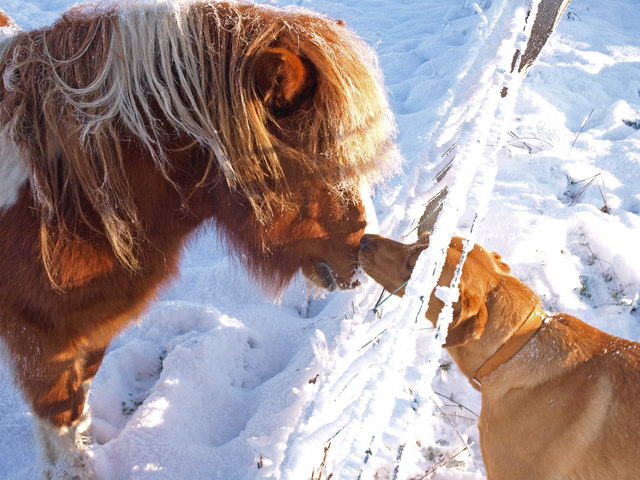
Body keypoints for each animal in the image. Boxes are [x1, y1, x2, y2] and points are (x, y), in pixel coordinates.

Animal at [0, 1, 396, 478]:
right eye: (323, 160)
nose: (362, 253)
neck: (61, 193)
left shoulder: (88, 329)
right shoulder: (38, 340)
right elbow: (63, 427)